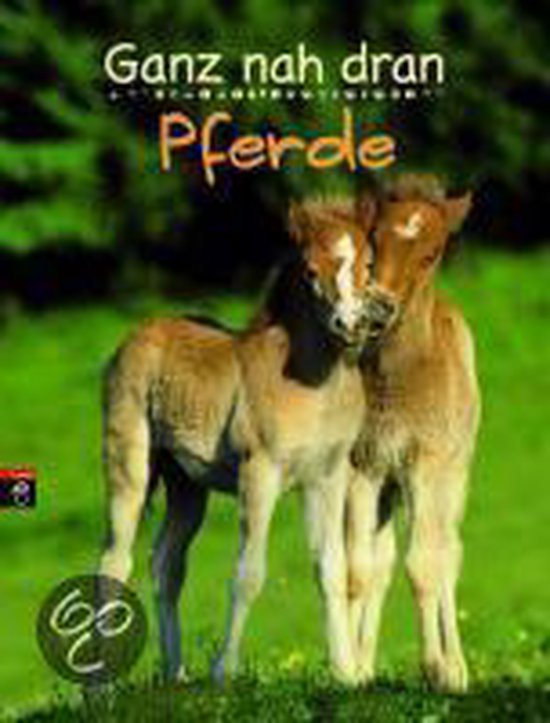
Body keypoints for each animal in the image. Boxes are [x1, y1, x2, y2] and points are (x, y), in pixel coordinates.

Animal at [98, 196, 375, 684]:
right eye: (310, 270)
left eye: (368, 263)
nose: (350, 324)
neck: (313, 388)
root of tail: (136, 335)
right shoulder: (260, 471)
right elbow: (248, 573)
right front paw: (223, 672)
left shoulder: (327, 478)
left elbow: (331, 569)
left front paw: (346, 674)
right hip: (130, 463)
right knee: (114, 561)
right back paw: (99, 689)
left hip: (186, 485)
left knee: (165, 564)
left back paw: (175, 675)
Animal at [346, 174, 480, 692]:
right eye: (374, 241)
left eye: (432, 253)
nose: (380, 307)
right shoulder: (363, 466)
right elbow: (361, 568)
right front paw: (350, 672)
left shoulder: (427, 463)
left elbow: (426, 564)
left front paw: (437, 670)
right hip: (389, 486)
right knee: (383, 560)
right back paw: (364, 663)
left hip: (452, 476)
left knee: (448, 551)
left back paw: (458, 668)